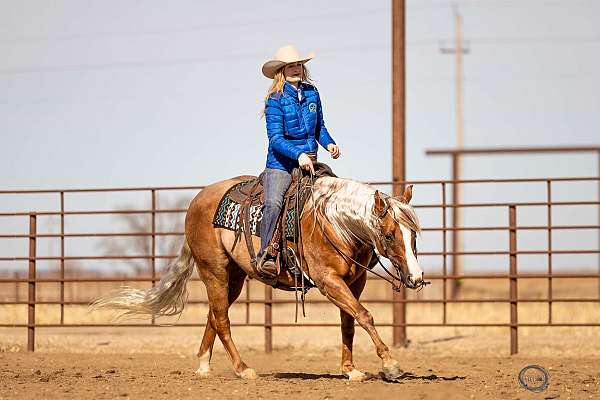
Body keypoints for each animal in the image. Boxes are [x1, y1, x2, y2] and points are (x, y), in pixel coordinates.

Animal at [92, 175, 422, 382]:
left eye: (414, 234)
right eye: (389, 235)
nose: (416, 277)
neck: (333, 222)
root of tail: (197, 201)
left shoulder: (355, 282)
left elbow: (349, 324)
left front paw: (350, 369)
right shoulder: (329, 281)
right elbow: (365, 316)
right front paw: (390, 365)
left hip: (235, 277)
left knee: (214, 315)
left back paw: (203, 365)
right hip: (214, 271)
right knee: (222, 319)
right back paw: (243, 369)